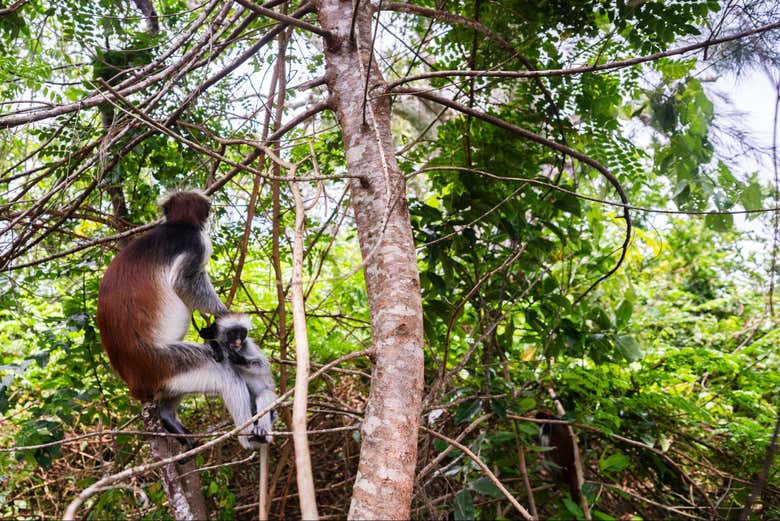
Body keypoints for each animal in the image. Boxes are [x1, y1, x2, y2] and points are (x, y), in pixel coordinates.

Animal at [95, 189, 262, 448]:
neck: (176, 225)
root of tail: (133, 381)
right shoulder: (196, 242)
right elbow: (185, 282)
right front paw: (223, 316)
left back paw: (167, 417)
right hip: (164, 362)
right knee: (225, 372)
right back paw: (248, 438)